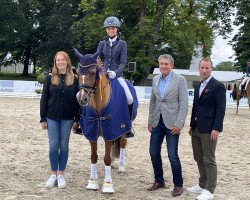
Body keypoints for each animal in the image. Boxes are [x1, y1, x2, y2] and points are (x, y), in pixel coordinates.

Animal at [73, 47, 139, 193]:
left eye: (93, 72)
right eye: (78, 73)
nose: (81, 98)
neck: (98, 104)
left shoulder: (111, 130)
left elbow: (107, 158)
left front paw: (108, 184)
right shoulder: (92, 133)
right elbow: (94, 157)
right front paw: (92, 181)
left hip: (124, 128)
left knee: (122, 144)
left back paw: (121, 166)